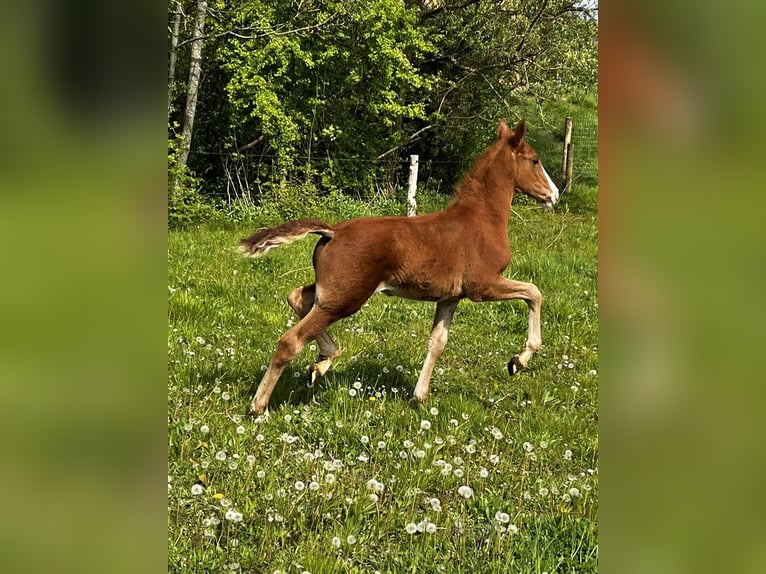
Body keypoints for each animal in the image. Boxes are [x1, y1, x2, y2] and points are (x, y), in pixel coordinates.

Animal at [243, 119, 560, 416]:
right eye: (535, 160)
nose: (554, 195)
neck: (481, 219)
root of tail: (332, 231)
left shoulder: (450, 297)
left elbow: (437, 342)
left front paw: (420, 397)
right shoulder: (483, 285)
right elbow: (534, 292)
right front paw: (518, 361)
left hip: (334, 290)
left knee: (298, 296)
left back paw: (321, 363)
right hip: (347, 297)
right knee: (290, 340)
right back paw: (259, 407)